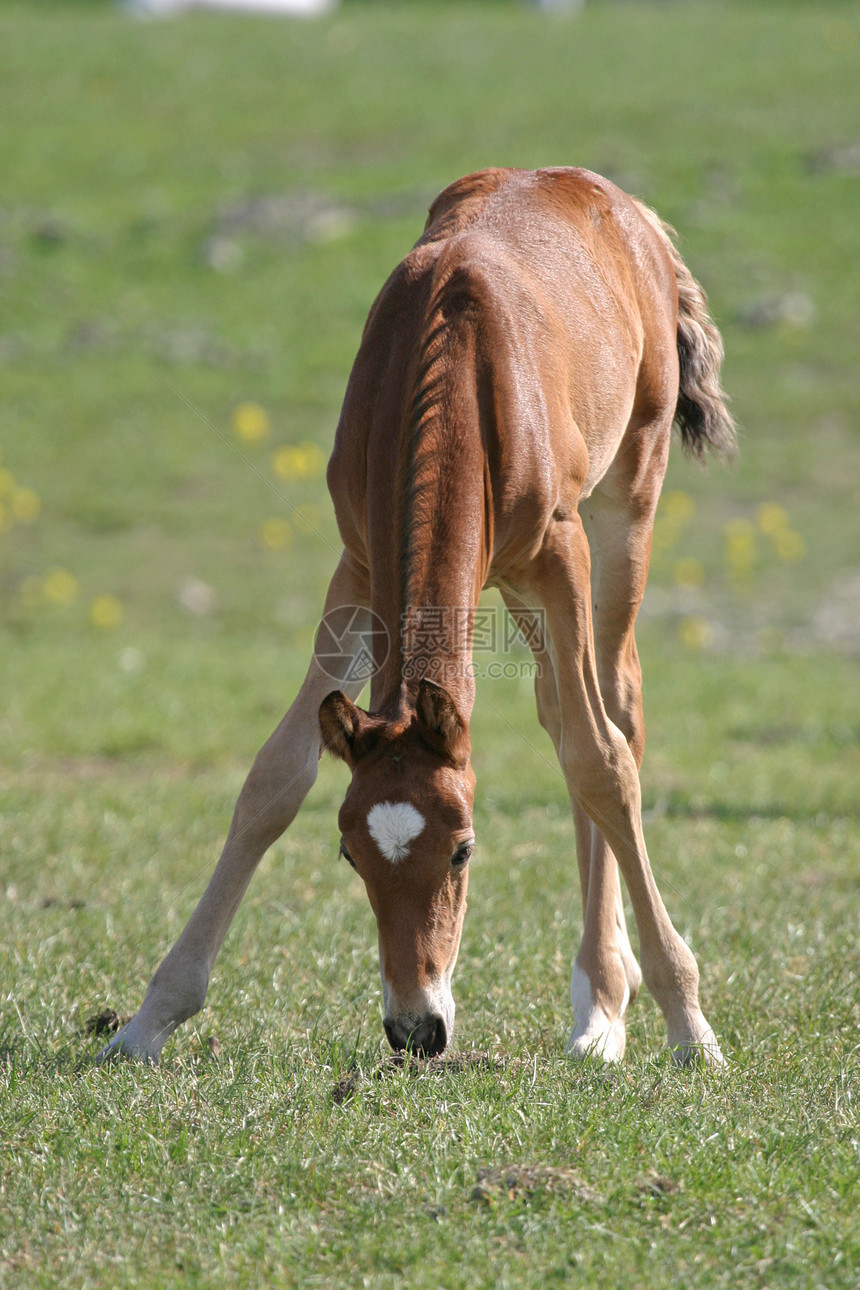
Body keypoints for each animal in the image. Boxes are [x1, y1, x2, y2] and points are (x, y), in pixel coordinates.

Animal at [99, 163, 732, 1068]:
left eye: (464, 850)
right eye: (349, 851)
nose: (417, 1030)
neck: (452, 364)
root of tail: (629, 210)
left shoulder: (560, 553)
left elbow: (602, 762)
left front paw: (690, 1027)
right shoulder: (359, 562)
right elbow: (273, 778)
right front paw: (150, 1017)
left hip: (623, 511)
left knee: (617, 712)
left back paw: (604, 1003)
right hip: (509, 584)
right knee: (556, 707)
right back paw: (602, 998)